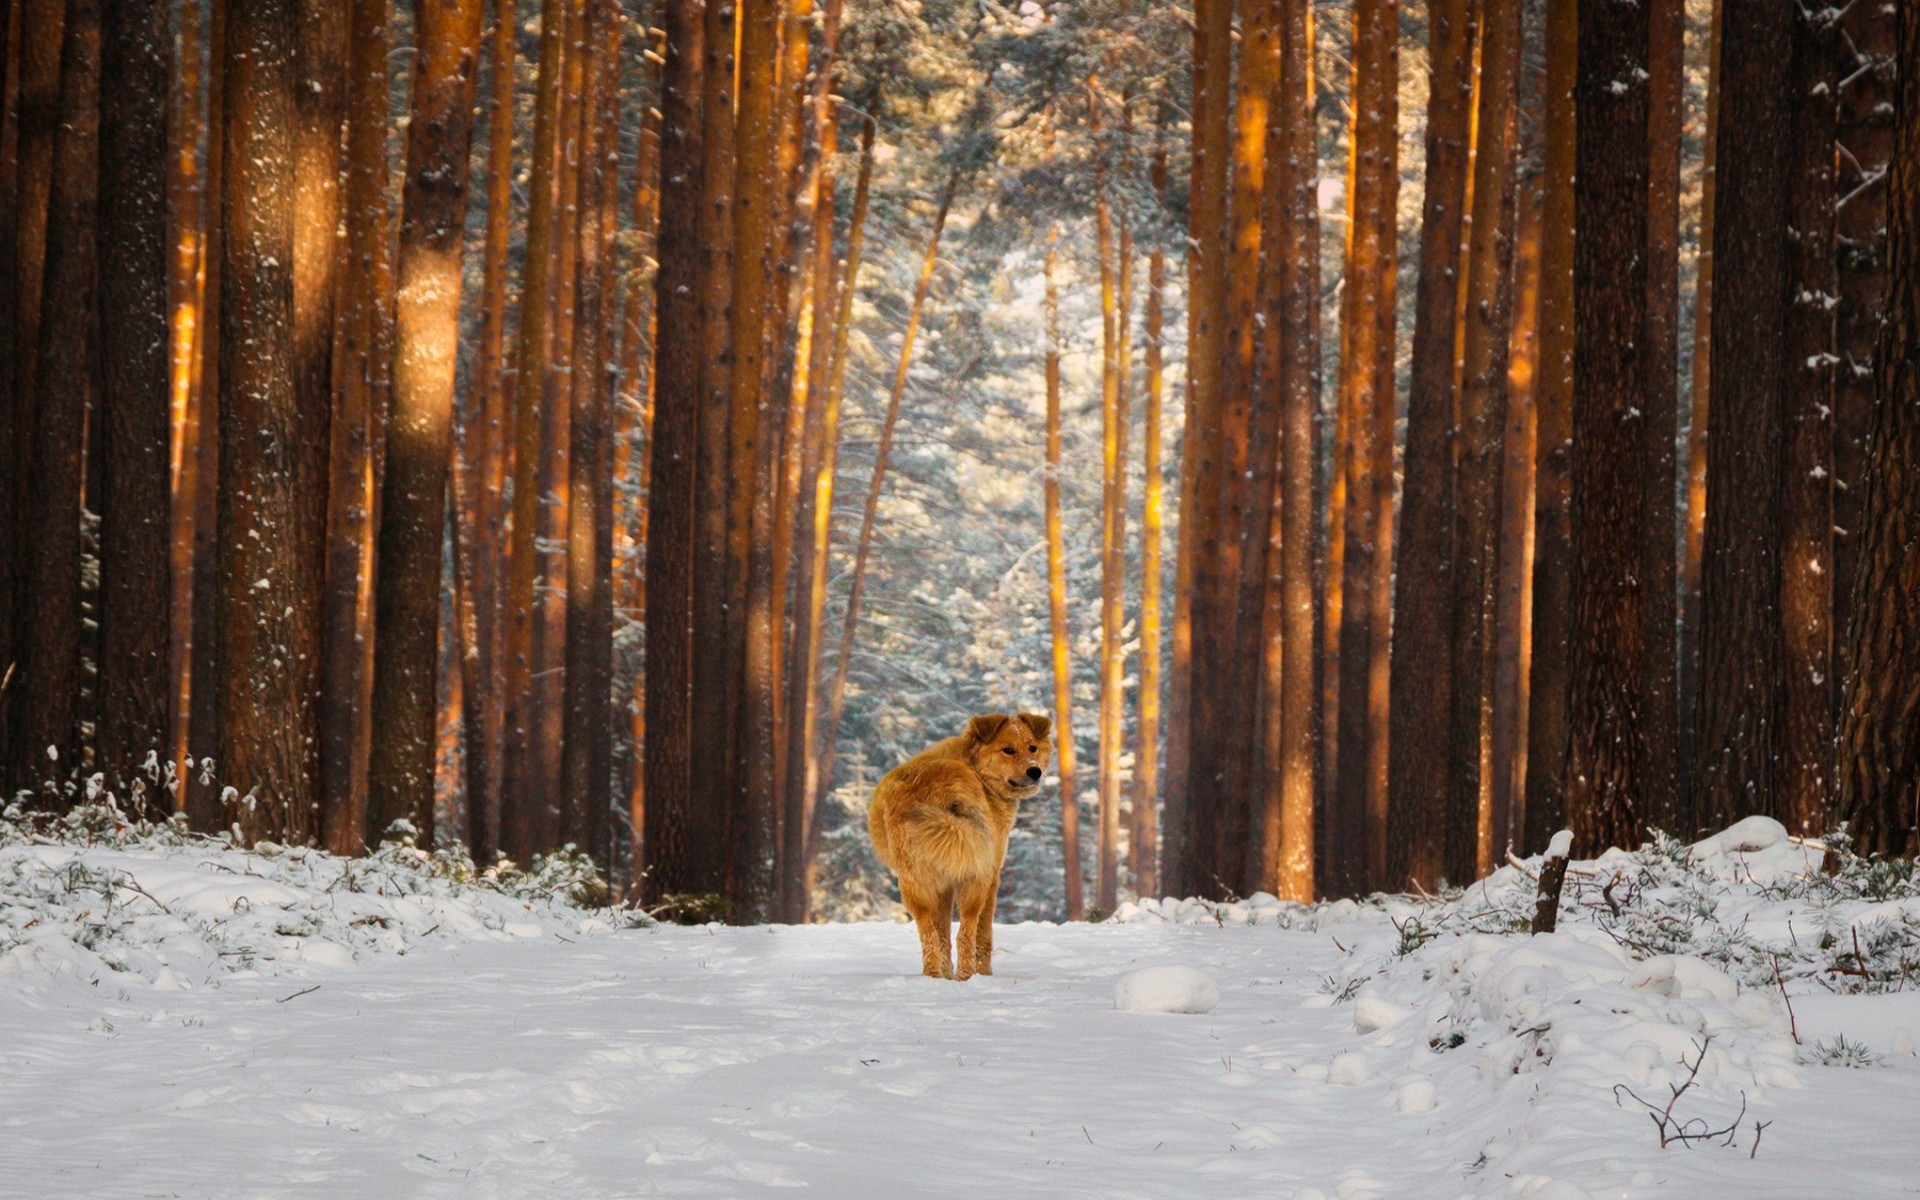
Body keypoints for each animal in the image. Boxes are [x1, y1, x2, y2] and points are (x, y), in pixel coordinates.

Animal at [867, 710, 1052, 975]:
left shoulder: (944, 885)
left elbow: (942, 932)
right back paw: (966, 975)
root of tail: (941, 786)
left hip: (915, 885)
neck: (975, 769)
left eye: (1032, 748)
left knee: (929, 934)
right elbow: (983, 934)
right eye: (1008, 750)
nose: (1034, 771)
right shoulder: (992, 877)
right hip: (974, 879)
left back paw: (933, 974)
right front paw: (983, 974)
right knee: (966, 931)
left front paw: (945, 974)